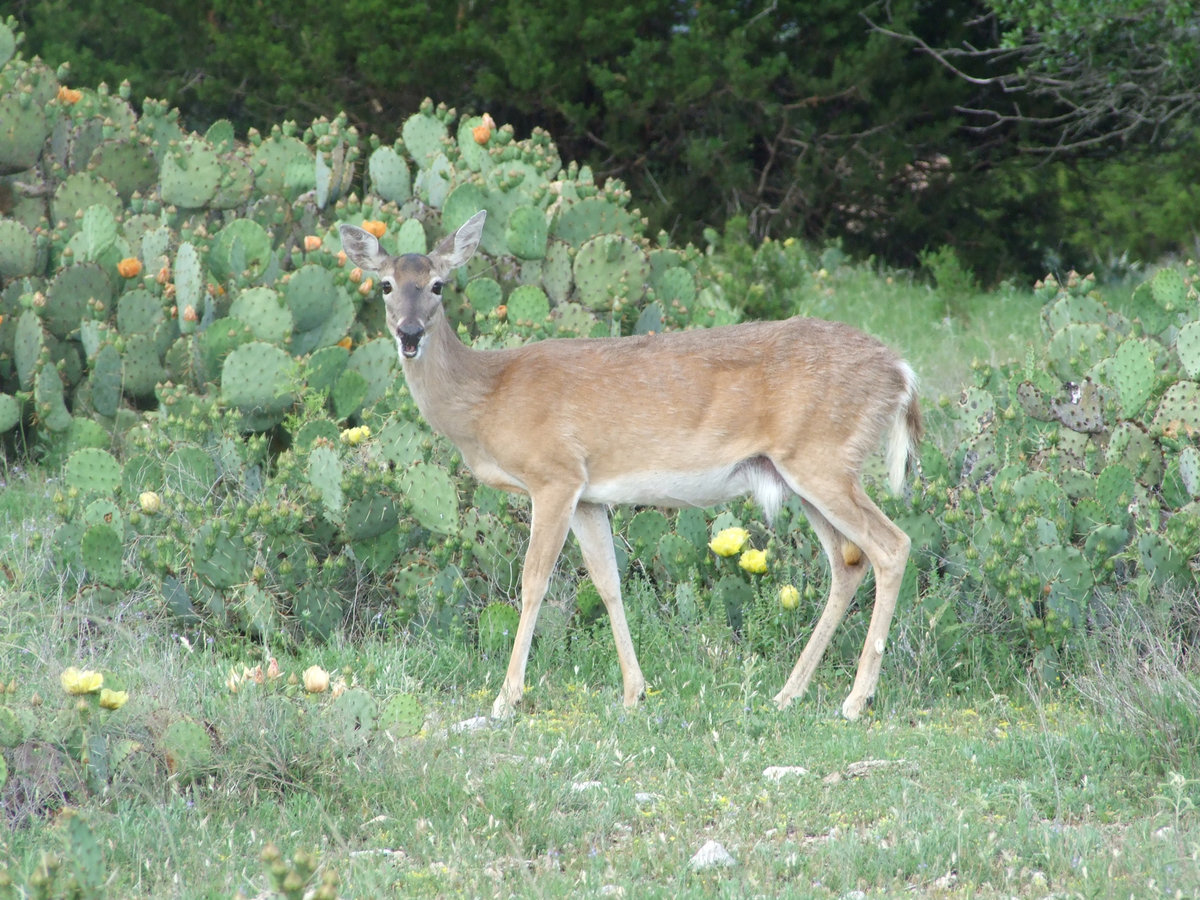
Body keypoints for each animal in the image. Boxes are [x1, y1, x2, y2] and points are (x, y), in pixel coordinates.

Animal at [343, 207, 921, 724]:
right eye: (386, 285)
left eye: (438, 285)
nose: (410, 334)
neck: (486, 397)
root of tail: (901, 371)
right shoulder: (588, 494)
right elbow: (608, 582)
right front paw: (634, 693)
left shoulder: (554, 475)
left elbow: (534, 582)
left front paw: (506, 700)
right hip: (801, 472)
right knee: (848, 562)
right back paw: (788, 694)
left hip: (824, 457)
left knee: (892, 545)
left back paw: (855, 701)